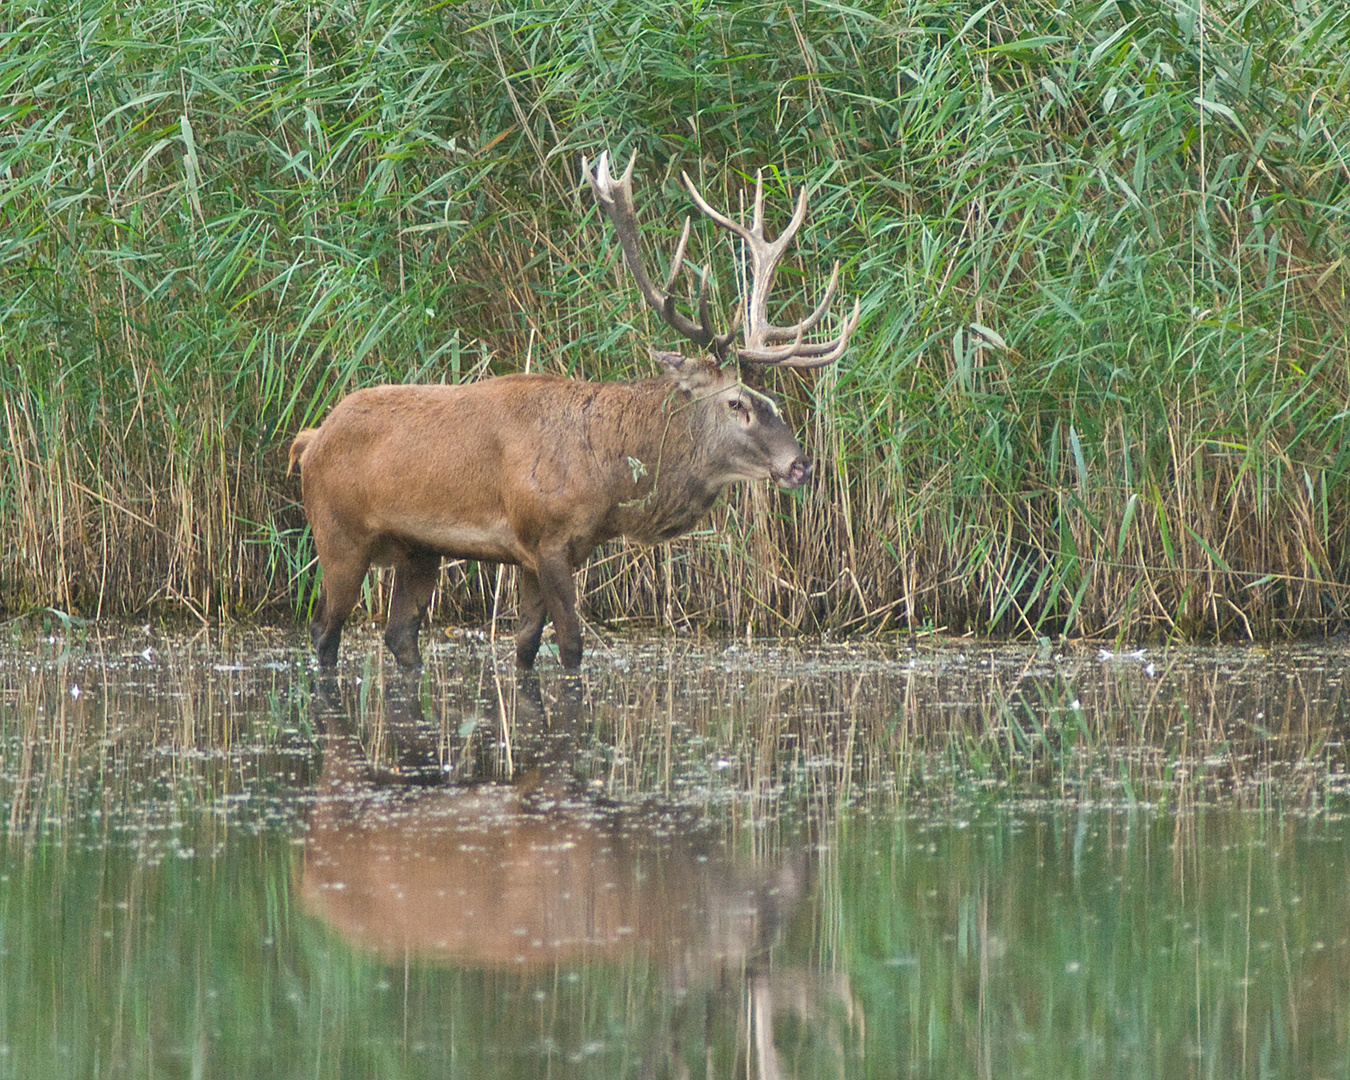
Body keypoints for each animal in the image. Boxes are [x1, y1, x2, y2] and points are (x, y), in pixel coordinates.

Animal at [288, 150, 858, 666]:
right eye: (737, 403)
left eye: (772, 400)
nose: (800, 465)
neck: (607, 474)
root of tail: (310, 440)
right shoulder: (546, 536)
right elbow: (571, 647)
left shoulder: (545, 552)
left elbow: (524, 648)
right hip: (337, 532)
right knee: (322, 631)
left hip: (417, 550)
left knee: (400, 636)